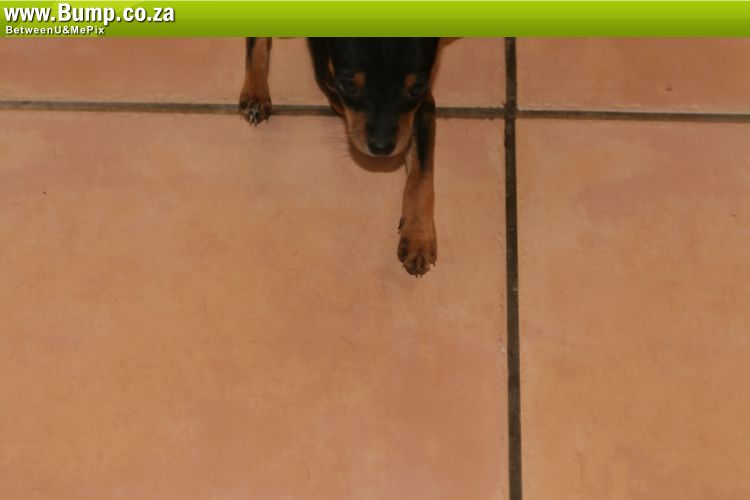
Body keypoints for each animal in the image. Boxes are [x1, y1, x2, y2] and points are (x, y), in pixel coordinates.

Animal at [239, 38, 440, 276]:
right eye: (349, 86)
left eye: (417, 88)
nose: (381, 147)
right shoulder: (328, 73)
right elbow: (338, 101)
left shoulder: (422, 104)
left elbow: (421, 176)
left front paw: (419, 238)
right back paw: (256, 93)